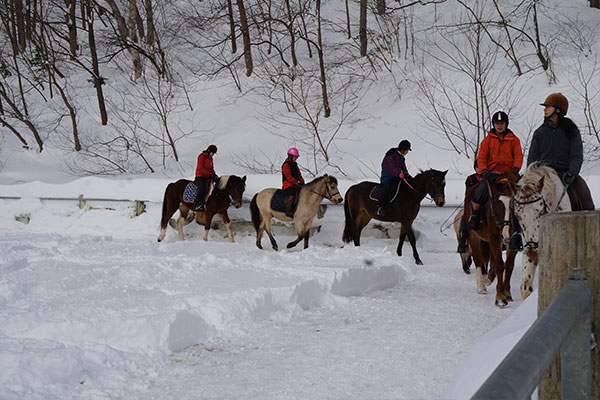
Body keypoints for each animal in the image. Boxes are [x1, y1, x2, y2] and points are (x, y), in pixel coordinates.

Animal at [464, 171, 520, 306]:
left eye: (514, 203)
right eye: (497, 203)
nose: (505, 233)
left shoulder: (513, 240)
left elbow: (509, 265)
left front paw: (507, 293)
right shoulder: (494, 237)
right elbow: (500, 264)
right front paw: (500, 297)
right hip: (474, 235)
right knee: (478, 259)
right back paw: (481, 286)